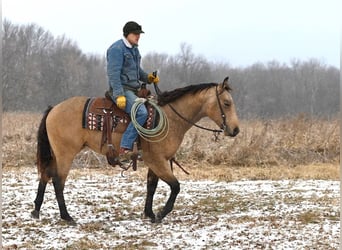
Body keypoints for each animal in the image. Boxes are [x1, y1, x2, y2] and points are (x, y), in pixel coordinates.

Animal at [31, 76, 240, 225]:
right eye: (227, 103)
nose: (236, 130)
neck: (170, 118)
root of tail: (53, 109)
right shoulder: (157, 160)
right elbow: (175, 186)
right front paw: (161, 214)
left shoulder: (156, 161)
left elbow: (151, 186)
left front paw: (149, 213)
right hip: (65, 154)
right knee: (58, 181)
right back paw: (66, 216)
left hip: (56, 154)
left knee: (46, 175)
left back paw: (36, 210)